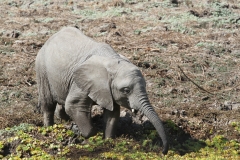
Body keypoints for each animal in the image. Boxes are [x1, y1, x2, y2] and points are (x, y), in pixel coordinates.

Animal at [35, 26, 169, 154]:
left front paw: (108, 140)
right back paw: (49, 127)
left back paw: (65, 120)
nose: (163, 151)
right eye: (126, 90)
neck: (112, 61)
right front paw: (89, 135)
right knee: (48, 103)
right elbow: (73, 105)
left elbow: (112, 114)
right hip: (42, 70)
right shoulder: (80, 82)